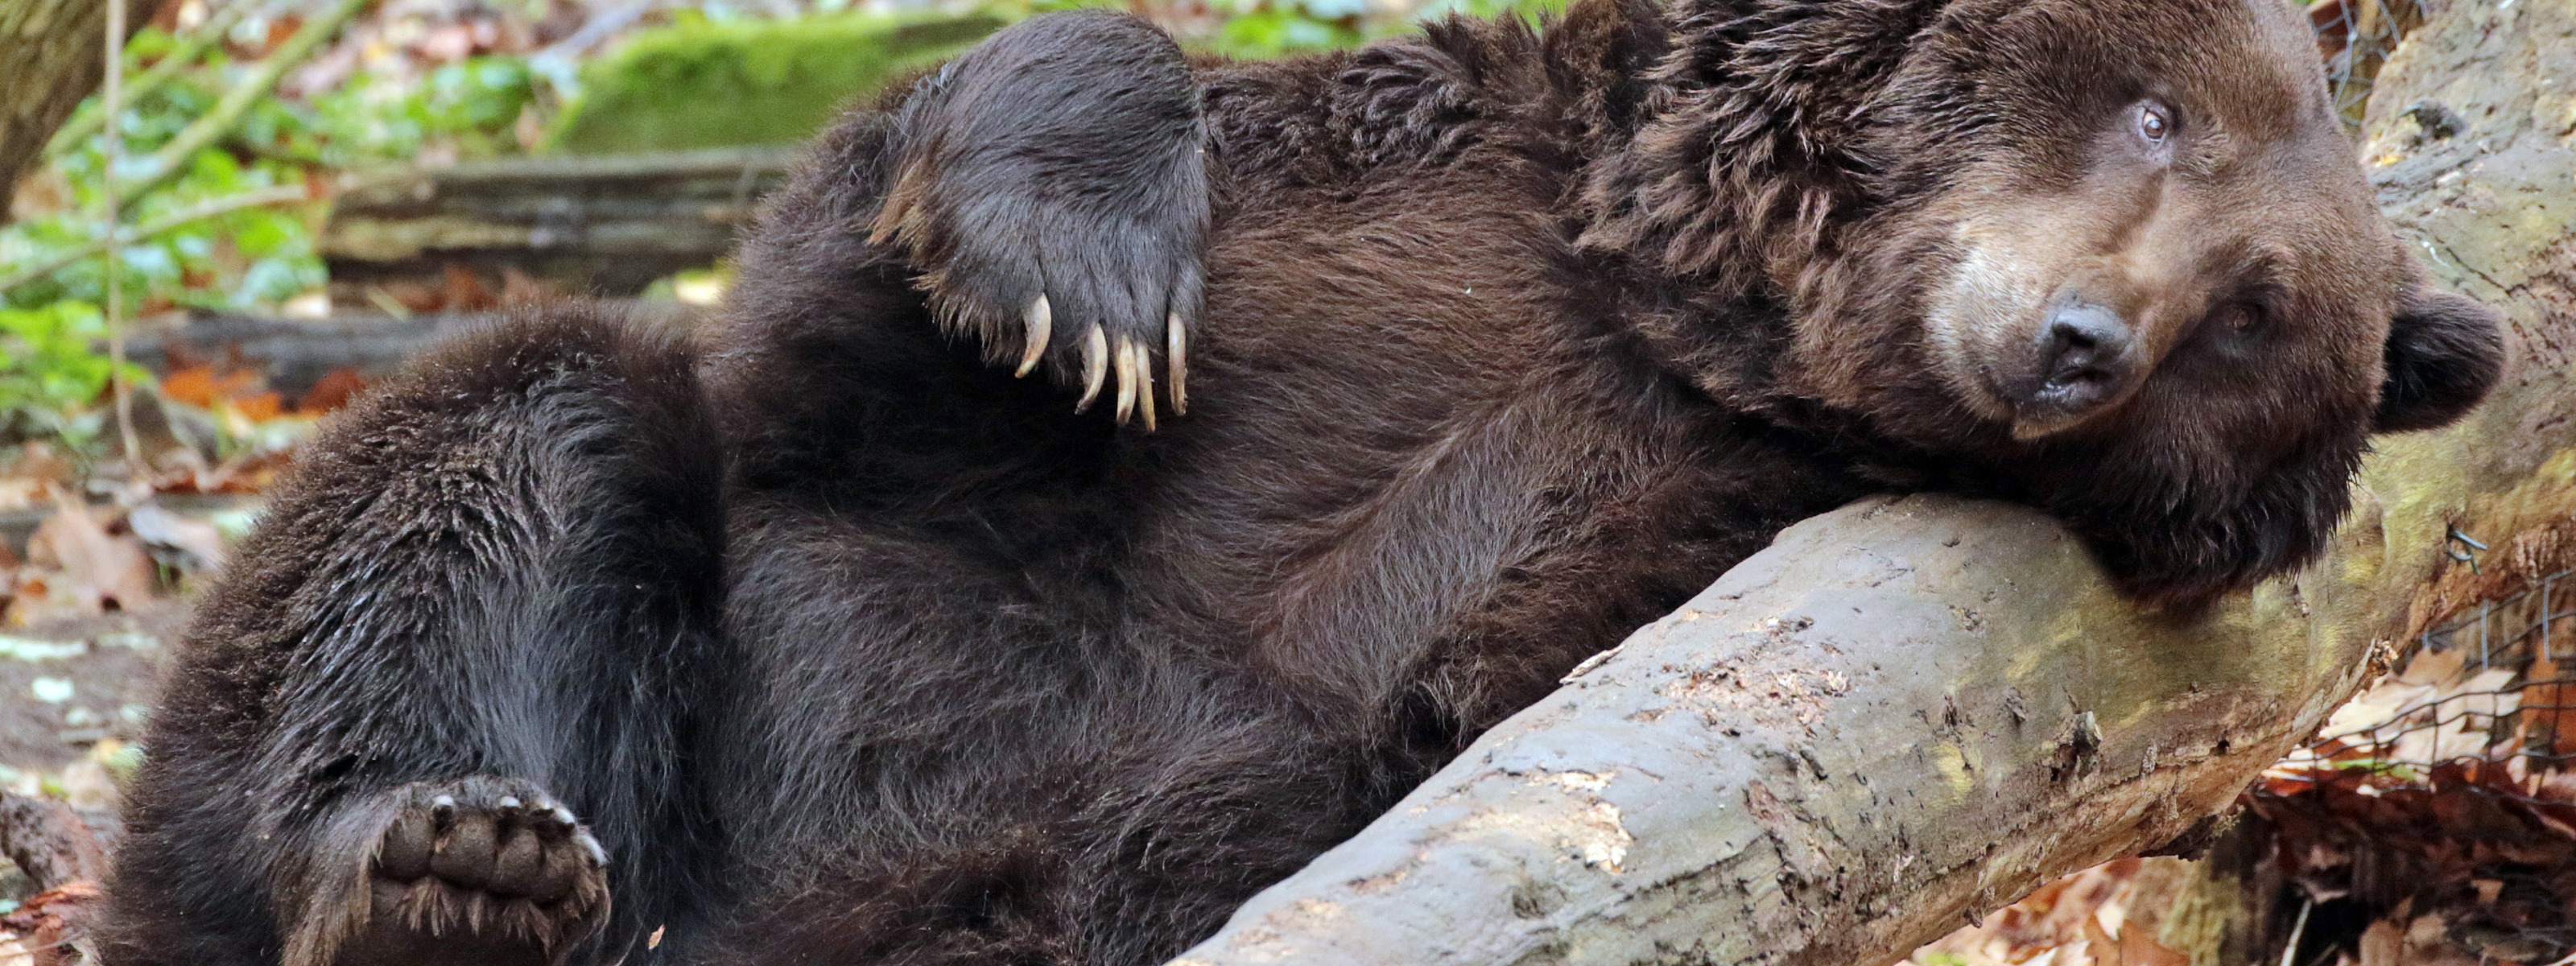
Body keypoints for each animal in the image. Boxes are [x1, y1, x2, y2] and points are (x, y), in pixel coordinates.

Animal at [100, 0, 2493, 963]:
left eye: (2256, 315)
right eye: (2157, 116)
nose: (2076, 340)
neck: (1700, 318)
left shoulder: (1654, 524)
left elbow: (1445, 687)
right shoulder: (1376, 224)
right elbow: (863, 348)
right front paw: (1075, 269)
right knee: (529, 432)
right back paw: (440, 861)